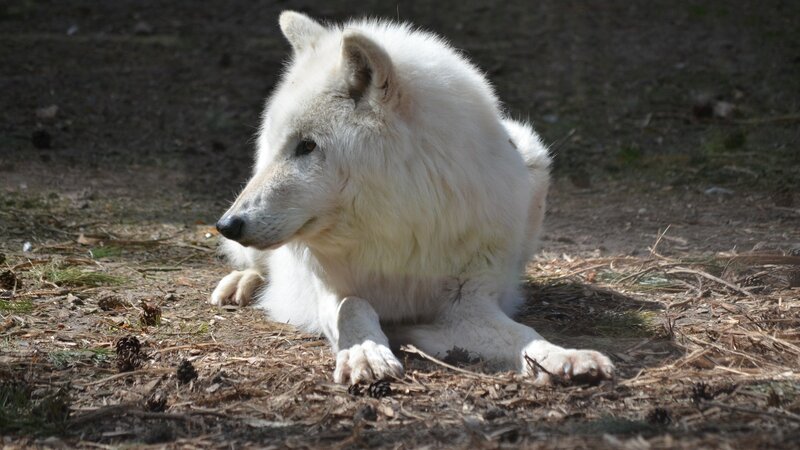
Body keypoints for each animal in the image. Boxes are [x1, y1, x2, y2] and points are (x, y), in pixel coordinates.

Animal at [210, 11, 614, 385]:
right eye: (280, 144)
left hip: (533, 156)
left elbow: (527, 335)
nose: (227, 224)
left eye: (307, 146)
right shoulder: (329, 289)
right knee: (257, 266)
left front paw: (565, 357)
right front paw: (366, 353)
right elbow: (353, 306)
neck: (397, 225)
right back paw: (240, 284)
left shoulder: (468, 305)